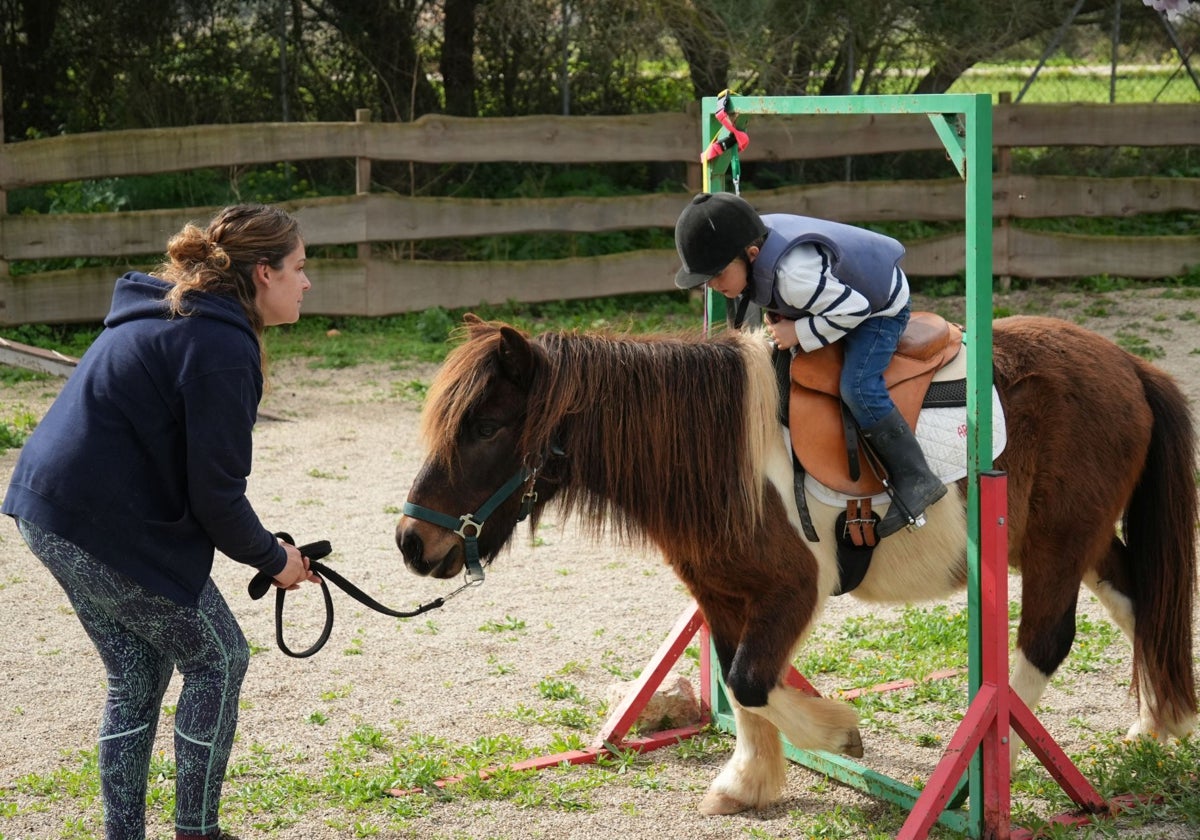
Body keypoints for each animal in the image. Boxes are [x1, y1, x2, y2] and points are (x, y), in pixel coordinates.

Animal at [393, 314, 1190, 816]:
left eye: (487, 426)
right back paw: (1158, 723)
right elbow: (736, 680)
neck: (724, 454)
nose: (411, 542)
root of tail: (1128, 363)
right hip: (1076, 541)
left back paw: (982, 775)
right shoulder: (719, 592)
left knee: (1046, 641)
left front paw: (838, 735)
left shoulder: (792, 591)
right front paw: (748, 784)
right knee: (1138, 599)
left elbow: (752, 679)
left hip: (1058, 544)